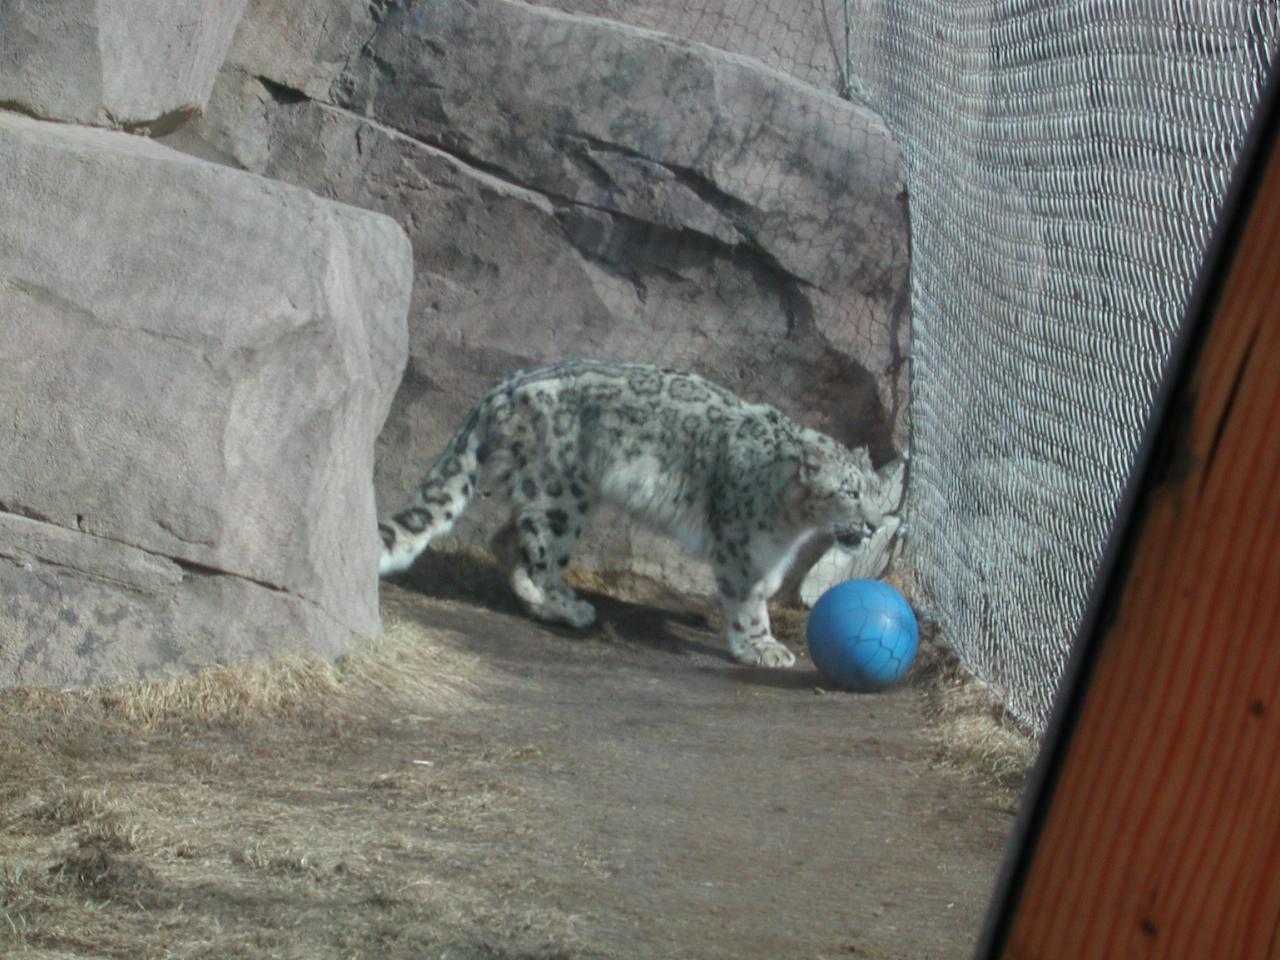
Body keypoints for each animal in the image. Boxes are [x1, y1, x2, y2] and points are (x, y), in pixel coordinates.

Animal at [378, 358, 901, 670]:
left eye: (878, 493)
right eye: (850, 492)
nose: (873, 524)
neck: (793, 523)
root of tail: (503, 388)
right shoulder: (741, 546)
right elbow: (749, 597)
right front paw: (761, 646)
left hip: (550, 488)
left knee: (507, 539)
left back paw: (541, 603)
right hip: (561, 494)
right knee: (539, 555)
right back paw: (569, 607)